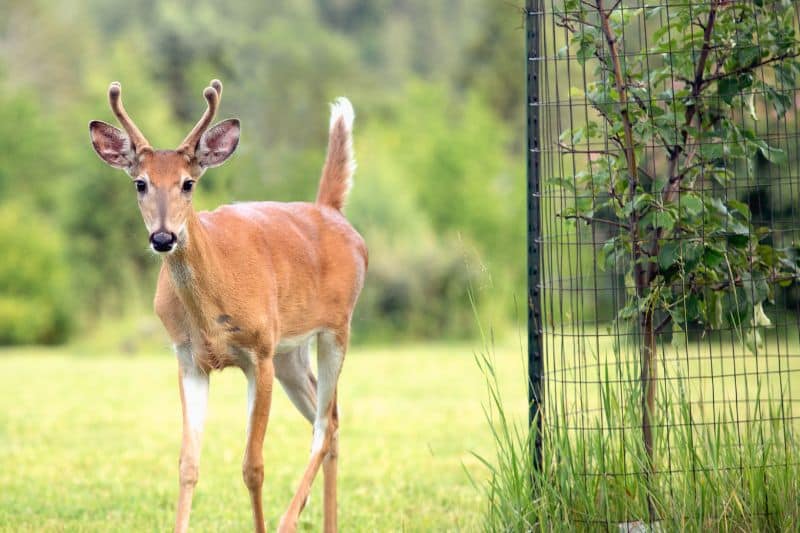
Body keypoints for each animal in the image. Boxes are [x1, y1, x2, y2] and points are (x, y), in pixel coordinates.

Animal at [89, 80, 370, 532]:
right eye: (140, 183)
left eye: (188, 183)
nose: (163, 237)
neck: (209, 311)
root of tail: (331, 211)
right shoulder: (188, 358)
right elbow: (188, 464)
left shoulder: (259, 352)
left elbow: (253, 466)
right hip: (292, 351)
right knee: (329, 419)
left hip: (335, 328)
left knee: (326, 424)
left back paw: (289, 518)